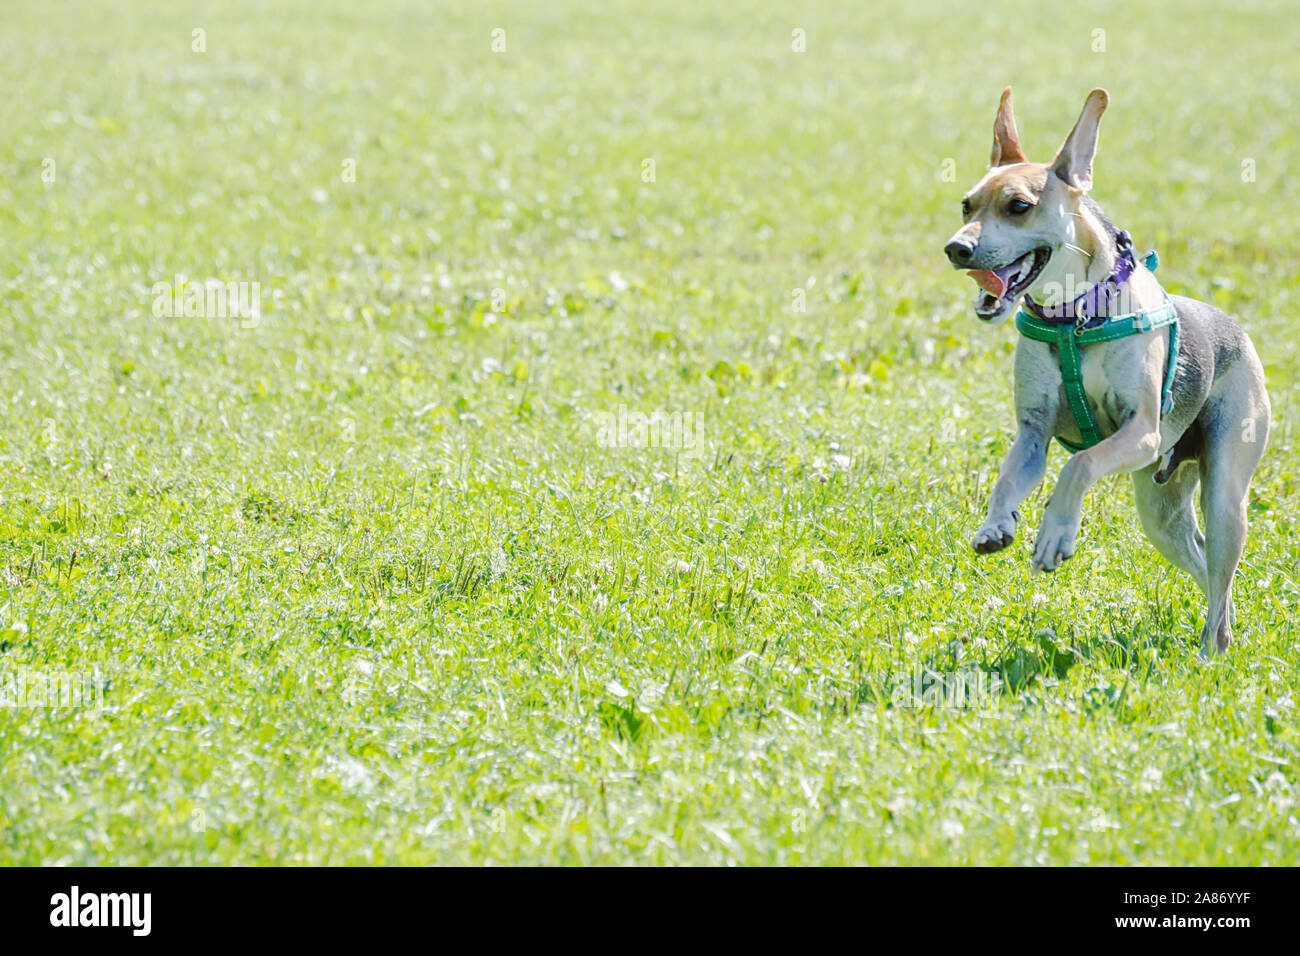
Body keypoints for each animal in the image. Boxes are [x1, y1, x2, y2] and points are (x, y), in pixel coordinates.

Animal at [946, 87, 1268, 658]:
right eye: (967, 204)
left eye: (1019, 206)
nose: (956, 249)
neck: (1074, 317)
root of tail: (1237, 331)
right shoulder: (1032, 434)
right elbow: (1008, 477)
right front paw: (997, 524)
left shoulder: (1139, 431)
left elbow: (1078, 466)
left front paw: (1055, 532)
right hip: (1161, 512)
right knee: (1208, 568)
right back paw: (1218, 636)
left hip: (1226, 491)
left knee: (1221, 568)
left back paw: (1210, 653)